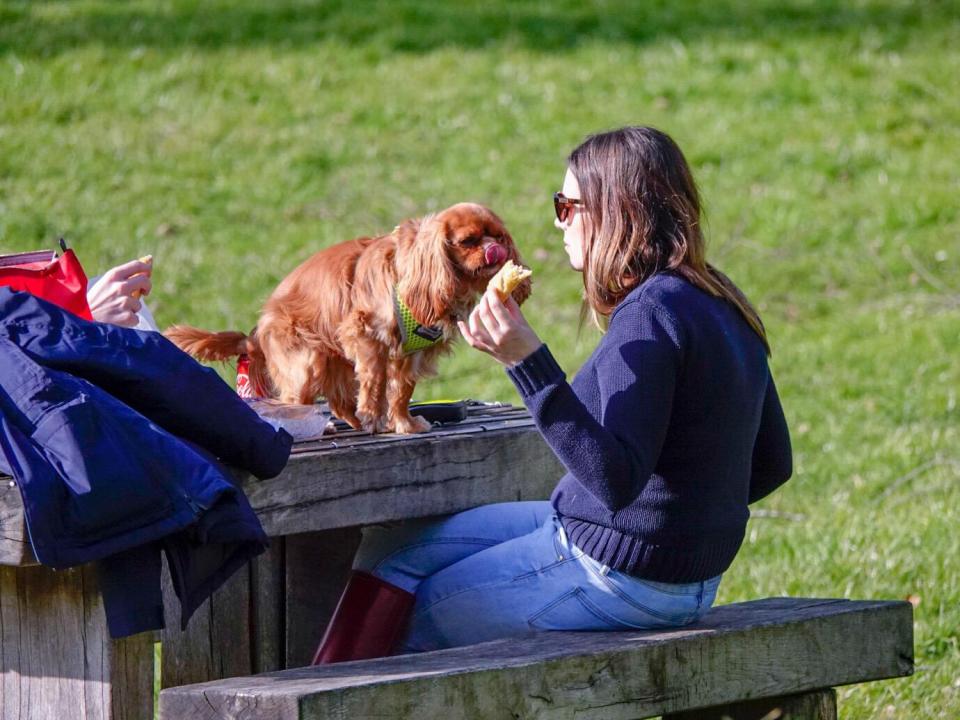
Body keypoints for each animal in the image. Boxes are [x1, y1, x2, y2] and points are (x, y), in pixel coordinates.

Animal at [163, 202, 532, 434]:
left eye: (499, 236)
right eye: (468, 241)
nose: (494, 249)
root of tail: (255, 334)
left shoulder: (411, 352)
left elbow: (401, 391)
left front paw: (403, 424)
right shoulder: (366, 334)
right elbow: (376, 382)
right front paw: (375, 415)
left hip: (334, 360)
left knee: (339, 402)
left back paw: (352, 420)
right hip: (308, 358)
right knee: (295, 401)